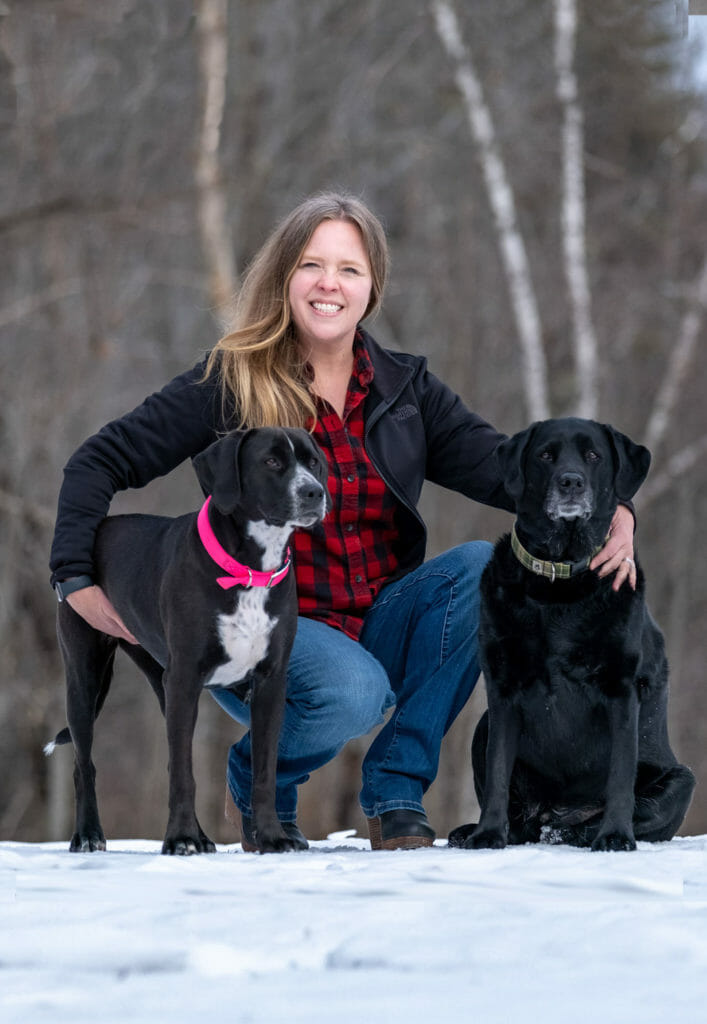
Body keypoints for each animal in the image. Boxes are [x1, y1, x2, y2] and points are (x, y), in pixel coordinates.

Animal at [49, 425, 329, 856]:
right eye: (271, 461)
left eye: (313, 461)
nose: (315, 492)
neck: (250, 568)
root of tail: (98, 526)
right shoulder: (185, 679)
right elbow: (184, 772)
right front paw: (179, 838)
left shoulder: (270, 682)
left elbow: (264, 771)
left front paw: (271, 837)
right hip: (85, 676)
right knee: (85, 764)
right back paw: (89, 835)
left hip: (161, 680)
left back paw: (201, 837)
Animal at [448, 419, 692, 851]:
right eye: (546, 455)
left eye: (593, 455)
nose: (571, 482)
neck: (558, 584)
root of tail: (554, 814)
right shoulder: (502, 688)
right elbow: (497, 773)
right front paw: (488, 835)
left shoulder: (620, 689)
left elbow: (620, 776)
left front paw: (615, 836)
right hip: (482, 727)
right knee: (521, 819)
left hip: (682, 780)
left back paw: (585, 831)